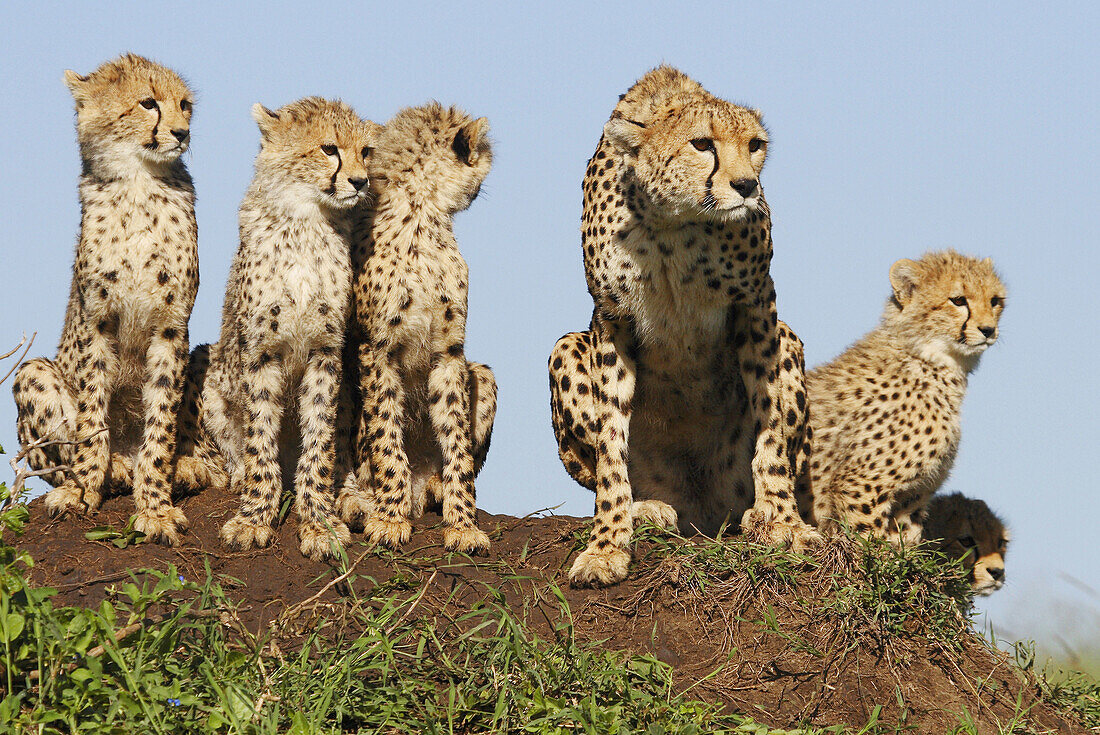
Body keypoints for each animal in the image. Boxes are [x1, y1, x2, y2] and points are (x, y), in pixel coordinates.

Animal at [547, 66, 818, 589]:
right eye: (702, 144)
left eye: (755, 144)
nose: (747, 186)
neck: (675, 221)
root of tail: (702, 517)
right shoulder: (611, 319)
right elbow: (610, 444)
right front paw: (608, 544)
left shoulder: (757, 304)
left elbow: (771, 425)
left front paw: (784, 521)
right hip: (566, 347)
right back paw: (647, 508)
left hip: (789, 340)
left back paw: (755, 513)